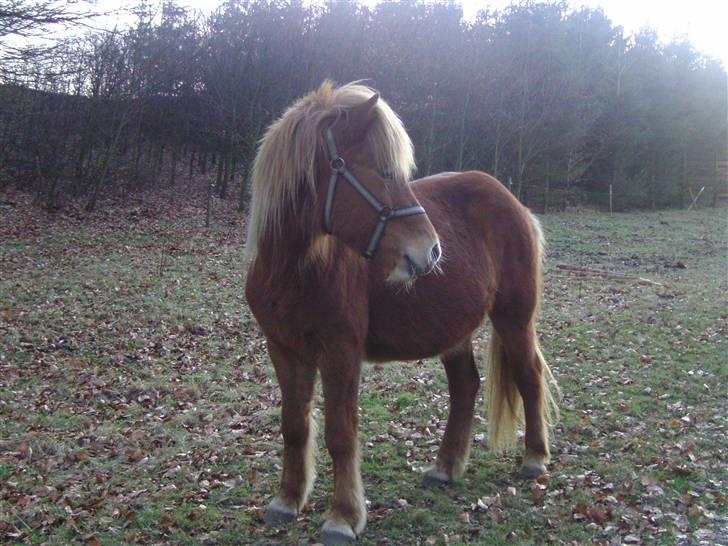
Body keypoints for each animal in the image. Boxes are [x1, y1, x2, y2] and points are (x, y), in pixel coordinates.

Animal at [244, 81, 559, 545]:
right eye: (384, 172)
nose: (430, 251)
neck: (297, 270)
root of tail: (514, 203)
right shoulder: (283, 348)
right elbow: (294, 425)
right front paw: (286, 500)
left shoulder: (341, 351)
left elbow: (341, 433)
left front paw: (343, 517)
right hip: (454, 331)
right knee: (465, 386)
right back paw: (445, 468)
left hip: (514, 319)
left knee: (529, 376)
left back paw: (535, 458)